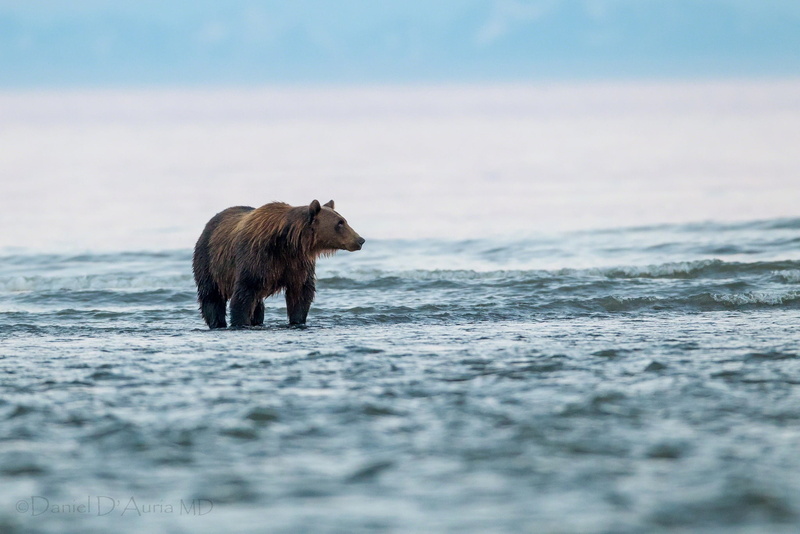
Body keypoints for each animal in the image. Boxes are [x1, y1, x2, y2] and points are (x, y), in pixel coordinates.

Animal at [192, 199, 364, 329]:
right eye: (340, 223)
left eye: (344, 220)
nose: (360, 239)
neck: (287, 243)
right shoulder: (257, 258)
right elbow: (243, 294)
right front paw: (240, 322)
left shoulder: (297, 263)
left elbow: (301, 293)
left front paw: (297, 320)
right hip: (208, 260)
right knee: (211, 295)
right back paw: (217, 322)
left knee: (258, 305)